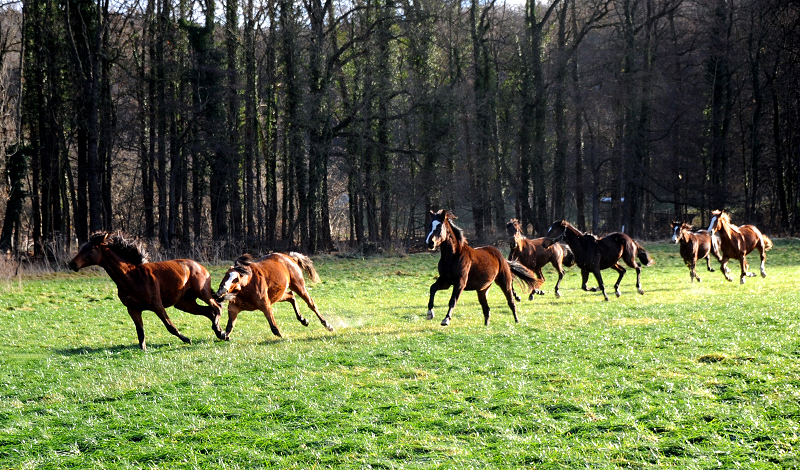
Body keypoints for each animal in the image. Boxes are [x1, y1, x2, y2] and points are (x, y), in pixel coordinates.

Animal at [68, 233, 225, 350]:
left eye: (90, 249)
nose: (72, 264)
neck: (132, 277)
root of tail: (199, 266)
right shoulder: (133, 309)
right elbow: (140, 331)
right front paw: (142, 349)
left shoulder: (157, 305)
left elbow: (169, 326)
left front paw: (187, 339)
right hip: (184, 303)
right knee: (209, 311)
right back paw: (220, 332)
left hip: (202, 293)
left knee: (217, 307)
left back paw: (222, 333)